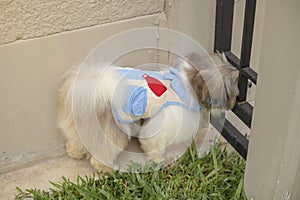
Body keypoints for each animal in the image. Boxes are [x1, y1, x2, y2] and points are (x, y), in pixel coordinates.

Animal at [56, 52, 239, 172]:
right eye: (232, 90)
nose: (235, 102)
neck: (183, 84)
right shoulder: (165, 123)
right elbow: (154, 145)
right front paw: (159, 159)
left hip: (79, 128)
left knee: (77, 141)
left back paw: (74, 152)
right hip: (111, 130)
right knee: (101, 154)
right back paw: (107, 168)